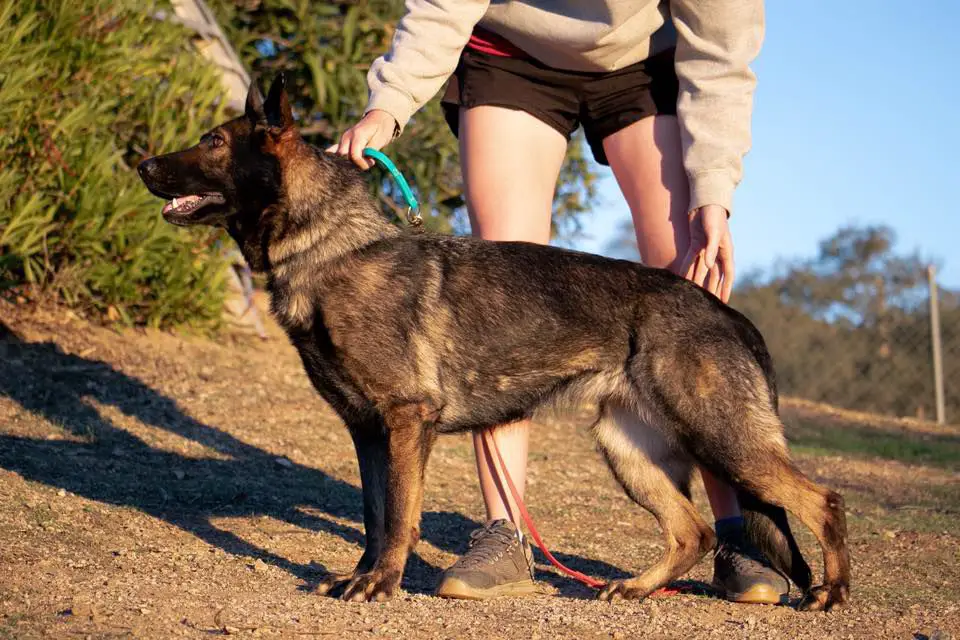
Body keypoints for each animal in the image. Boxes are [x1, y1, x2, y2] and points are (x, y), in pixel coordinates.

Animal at [135, 75, 848, 608]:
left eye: (215, 142)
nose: (139, 162)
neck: (331, 248)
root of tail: (726, 313)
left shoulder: (405, 420)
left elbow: (399, 516)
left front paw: (381, 584)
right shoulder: (368, 432)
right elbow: (374, 513)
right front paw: (362, 575)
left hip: (723, 440)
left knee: (822, 500)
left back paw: (832, 592)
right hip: (627, 448)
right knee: (691, 531)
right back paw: (636, 588)